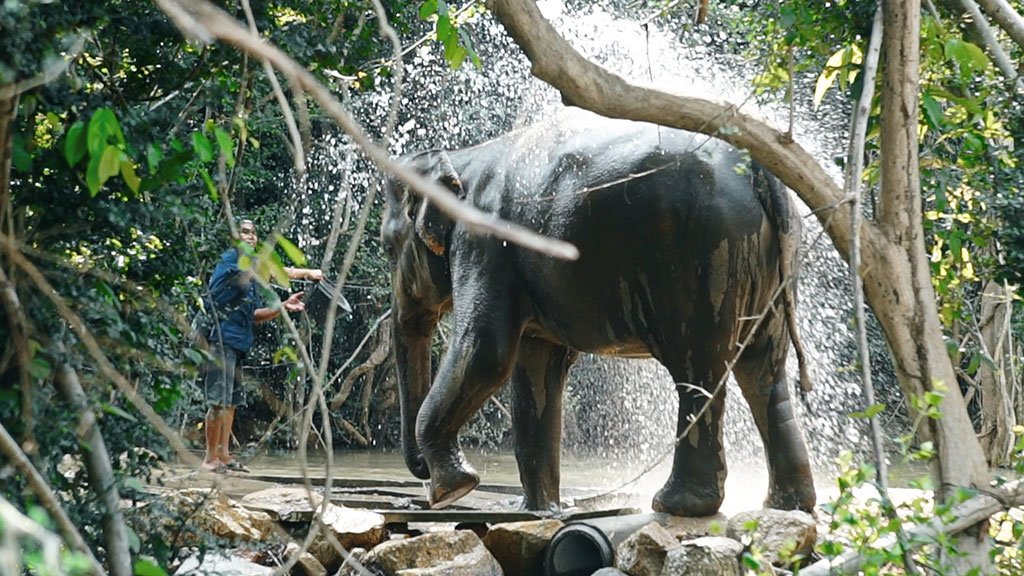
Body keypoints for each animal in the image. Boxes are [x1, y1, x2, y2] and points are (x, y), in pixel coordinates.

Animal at [381, 108, 816, 517]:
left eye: (387, 246)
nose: (420, 474)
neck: (462, 158)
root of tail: (761, 171)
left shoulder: (484, 242)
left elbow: (487, 354)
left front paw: (454, 489)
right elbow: (537, 370)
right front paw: (536, 511)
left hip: (704, 252)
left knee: (699, 369)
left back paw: (676, 505)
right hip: (767, 263)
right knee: (764, 373)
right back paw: (787, 504)